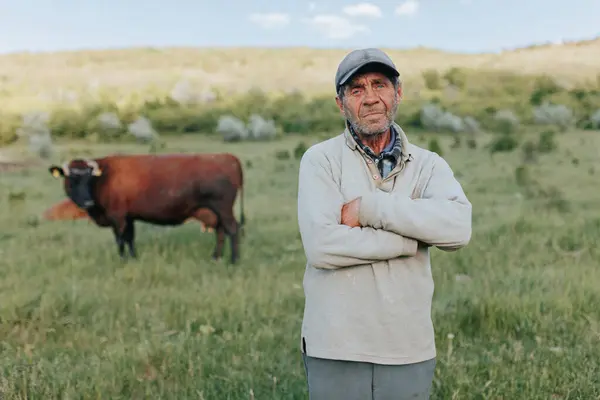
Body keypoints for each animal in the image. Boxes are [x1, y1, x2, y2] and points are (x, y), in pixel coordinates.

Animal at [45, 152, 245, 262]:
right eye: (71, 179)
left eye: (89, 179)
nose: (87, 202)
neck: (105, 177)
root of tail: (227, 156)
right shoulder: (128, 217)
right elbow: (130, 239)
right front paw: (133, 258)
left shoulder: (117, 217)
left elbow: (120, 240)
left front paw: (123, 260)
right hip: (216, 213)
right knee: (221, 232)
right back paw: (216, 257)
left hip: (223, 209)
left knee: (233, 230)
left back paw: (234, 261)